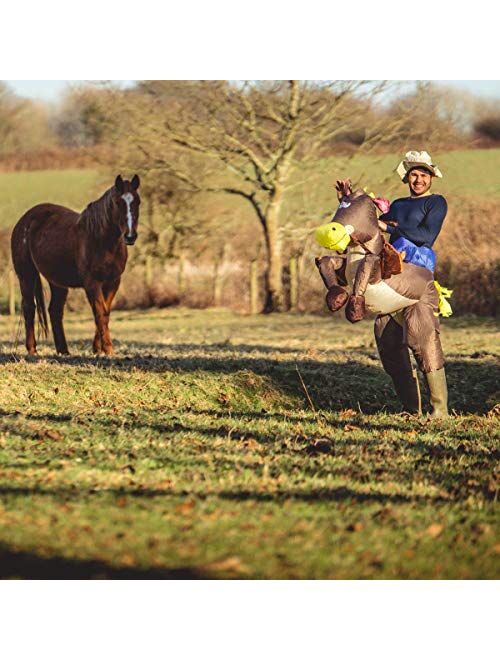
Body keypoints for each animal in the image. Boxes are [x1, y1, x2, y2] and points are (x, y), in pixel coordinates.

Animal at [11, 173, 141, 354]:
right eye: (117, 202)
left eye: (137, 201)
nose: (130, 236)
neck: (102, 240)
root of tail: (24, 220)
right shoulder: (92, 283)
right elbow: (100, 313)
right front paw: (108, 350)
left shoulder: (113, 282)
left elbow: (105, 312)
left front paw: (98, 349)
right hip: (26, 275)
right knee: (29, 307)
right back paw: (32, 350)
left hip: (57, 282)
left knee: (55, 311)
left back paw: (63, 351)